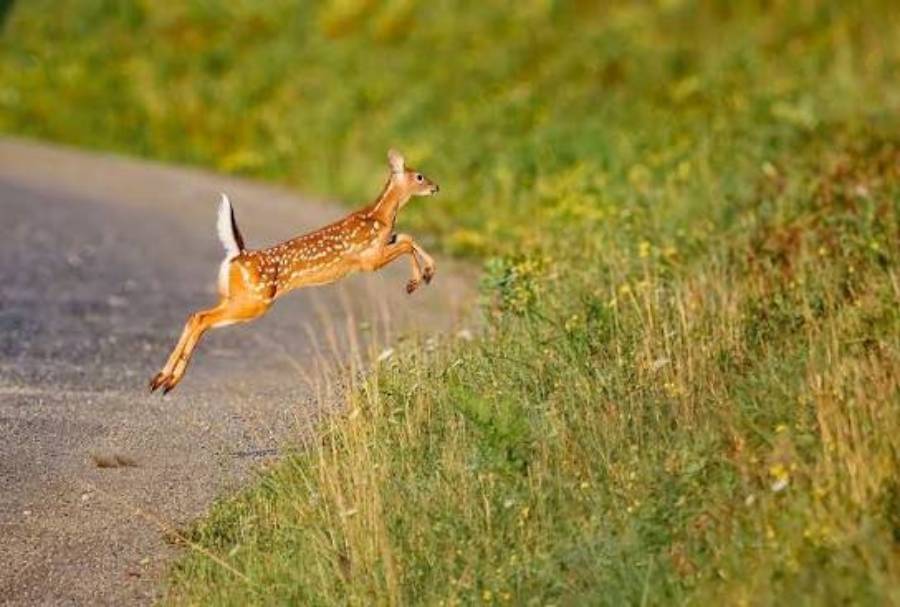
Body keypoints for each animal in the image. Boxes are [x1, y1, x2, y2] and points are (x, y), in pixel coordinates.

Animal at [149, 149, 439, 394]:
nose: (436, 187)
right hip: (254, 302)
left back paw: (161, 380)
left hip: (234, 297)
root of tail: (238, 255)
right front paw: (418, 279)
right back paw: (167, 380)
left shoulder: (381, 246)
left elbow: (407, 237)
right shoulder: (368, 259)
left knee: (195, 316)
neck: (380, 216)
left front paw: (425, 275)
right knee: (201, 318)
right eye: (419, 176)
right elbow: (406, 242)